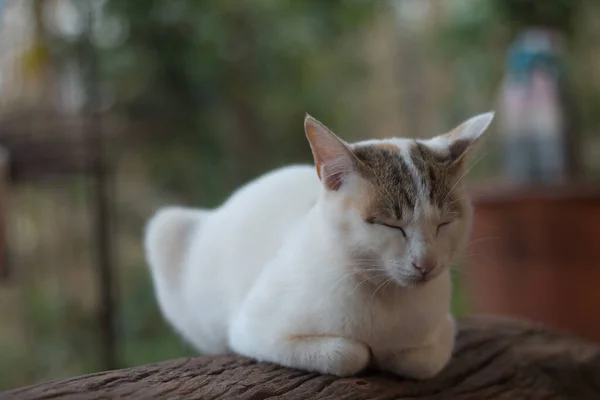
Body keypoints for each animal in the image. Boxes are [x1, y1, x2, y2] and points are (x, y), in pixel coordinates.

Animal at [144, 111, 492, 378]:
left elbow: (419, 361)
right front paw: (367, 354)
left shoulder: (443, 330)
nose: (426, 263)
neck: (385, 298)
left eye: (444, 223)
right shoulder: (253, 329)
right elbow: (347, 354)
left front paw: (391, 354)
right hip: (166, 227)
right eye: (389, 225)